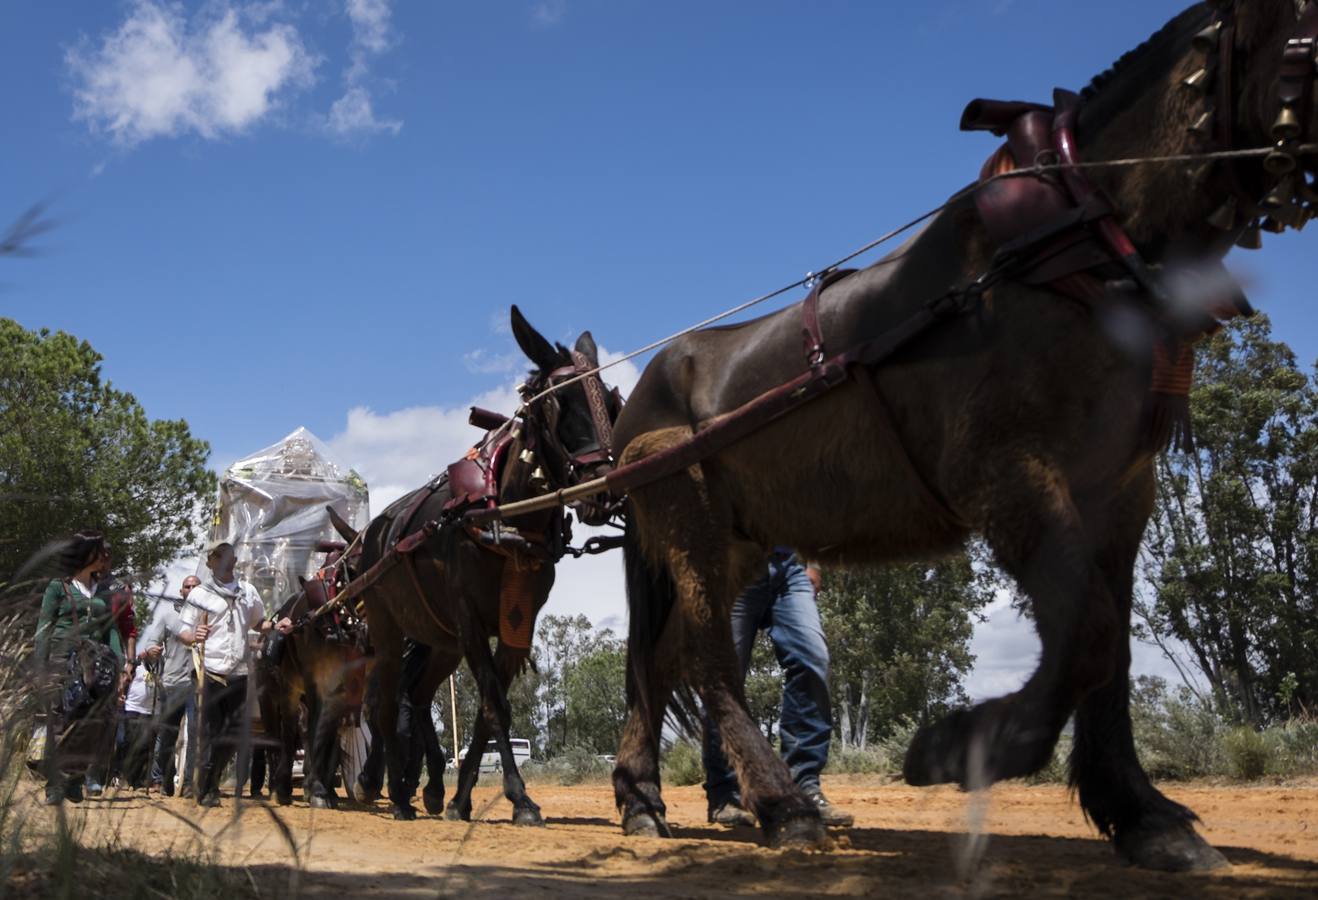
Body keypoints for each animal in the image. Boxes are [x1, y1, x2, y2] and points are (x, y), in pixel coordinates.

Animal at [345, 309, 622, 822]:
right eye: (558, 403)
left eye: (610, 403)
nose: (604, 489)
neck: (502, 518)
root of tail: (370, 536)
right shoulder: (469, 619)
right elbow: (494, 706)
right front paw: (518, 796)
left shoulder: (515, 623)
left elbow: (487, 713)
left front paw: (461, 798)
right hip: (388, 629)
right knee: (384, 703)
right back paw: (390, 791)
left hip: (440, 642)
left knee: (415, 696)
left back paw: (426, 787)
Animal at [606, 0, 1318, 874]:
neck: (1071, 246)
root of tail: (635, 404)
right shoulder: (1005, 474)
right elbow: (1087, 632)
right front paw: (960, 745)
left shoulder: (1118, 495)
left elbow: (1110, 653)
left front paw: (1144, 815)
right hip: (695, 531)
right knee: (707, 660)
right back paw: (781, 805)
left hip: (729, 546)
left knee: (660, 658)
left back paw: (643, 798)